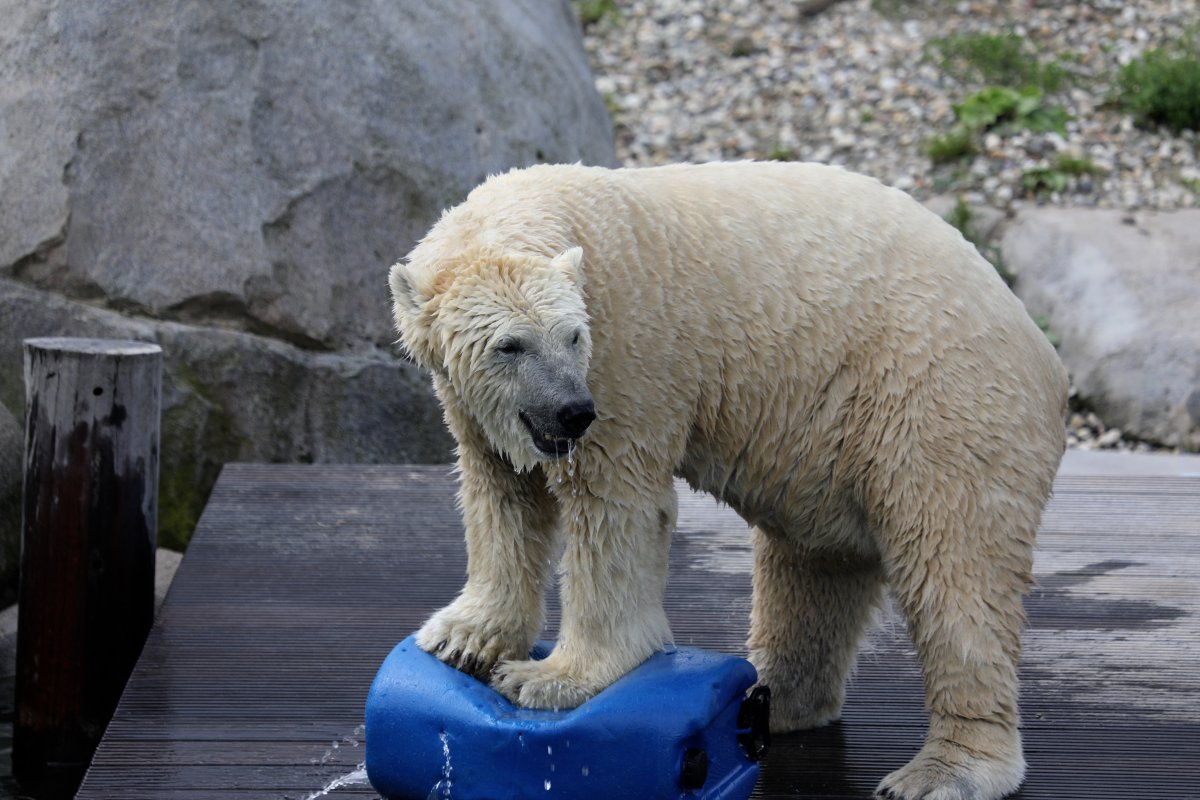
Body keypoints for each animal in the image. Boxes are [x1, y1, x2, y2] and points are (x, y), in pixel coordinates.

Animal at [386, 158, 1070, 800]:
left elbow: (614, 508)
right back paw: (776, 694)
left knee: (953, 569)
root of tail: (1042, 349)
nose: (572, 411)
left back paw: (944, 769)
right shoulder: (481, 408)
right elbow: (503, 495)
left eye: (572, 336)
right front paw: (464, 639)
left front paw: (549, 678)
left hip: (939, 397)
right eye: (509, 345)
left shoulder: (630, 354)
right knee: (812, 566)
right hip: (830, 439)